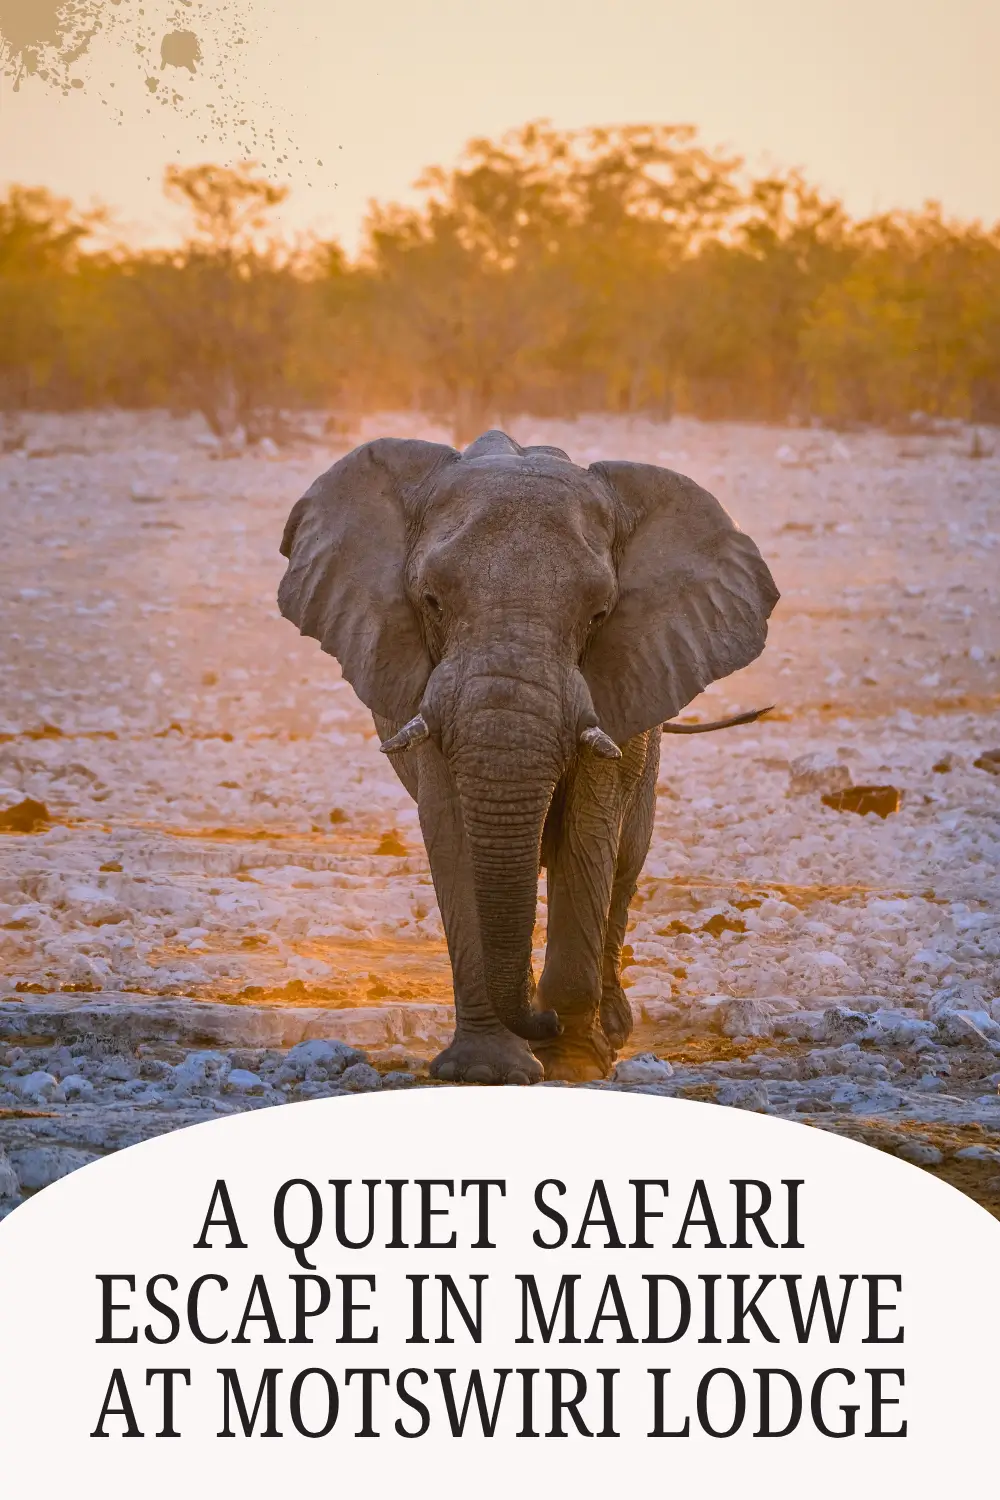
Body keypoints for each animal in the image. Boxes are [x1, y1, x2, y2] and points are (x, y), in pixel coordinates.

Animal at [277, 429, 779, 1084]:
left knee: (626, 859)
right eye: (432, 602)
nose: (544, 1020)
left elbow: (590, 833)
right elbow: (453, 832)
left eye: (598, 615)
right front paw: (488, 1070)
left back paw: (610, 1031)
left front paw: (574, 1061)